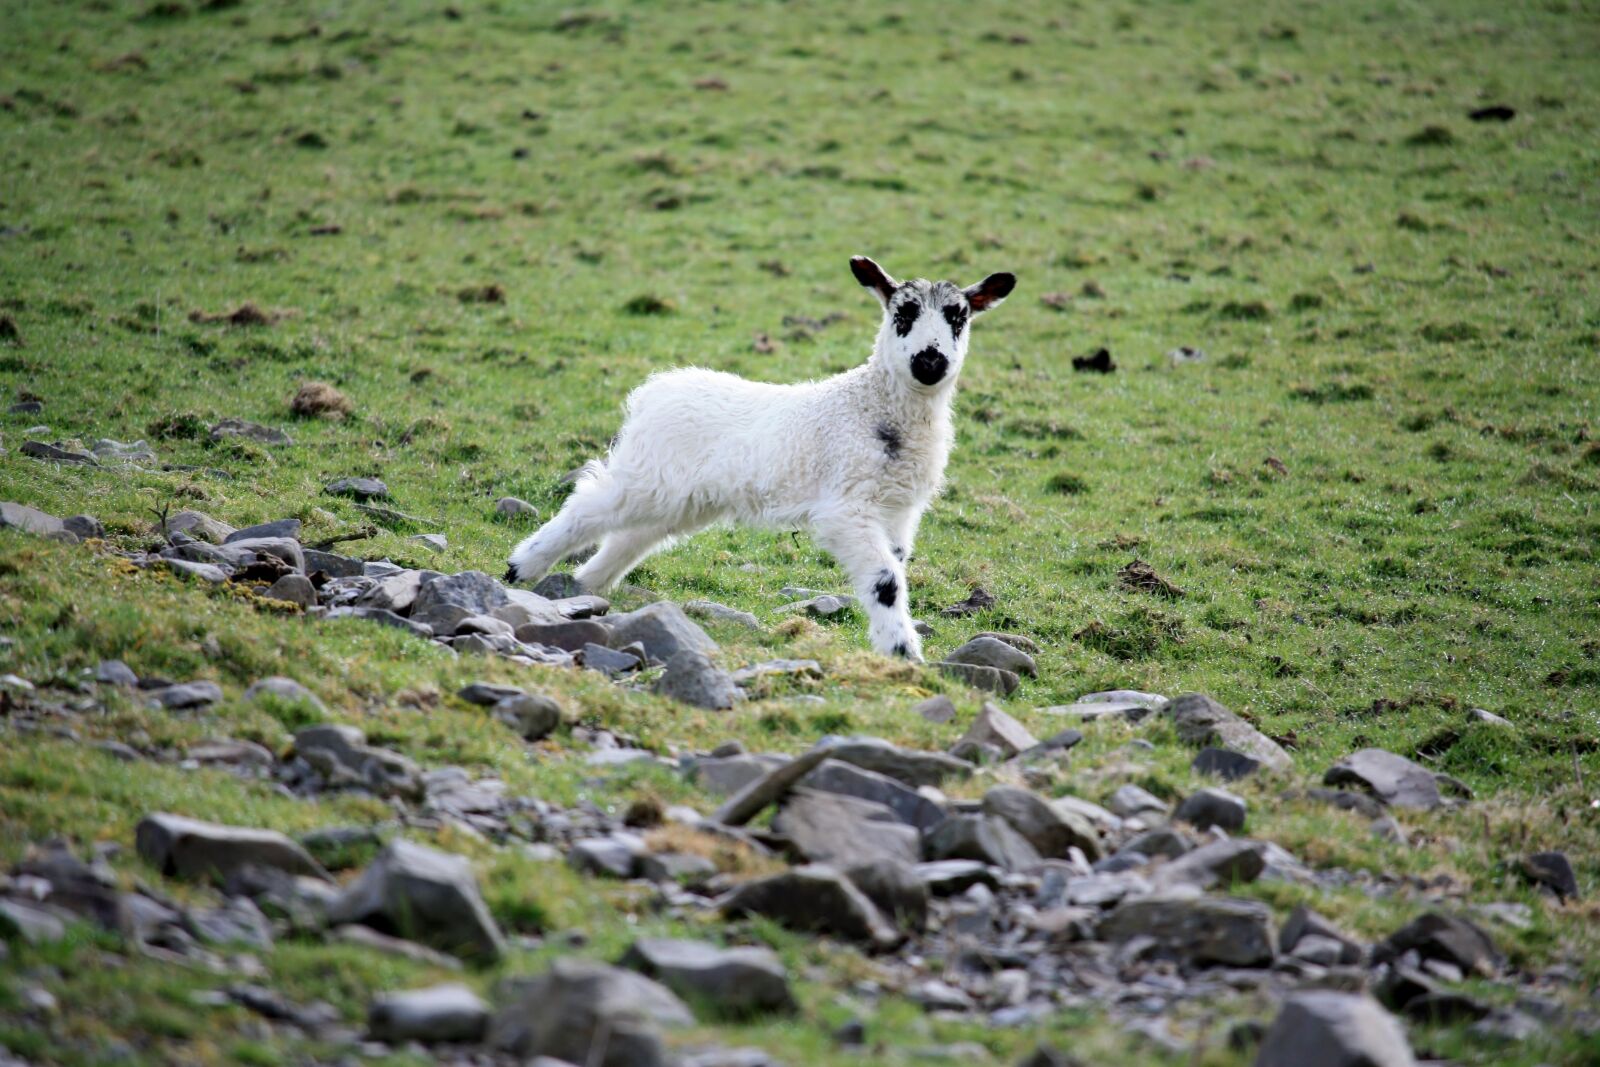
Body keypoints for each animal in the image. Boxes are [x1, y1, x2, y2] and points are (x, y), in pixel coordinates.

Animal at [505, 255, 1016, 660]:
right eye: (902, 313)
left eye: (959, 318)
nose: (930, 361)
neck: (876, 407)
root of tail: (655, 389)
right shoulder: (846, 506)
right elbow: (885, 580)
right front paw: (903, 652)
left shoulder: (899, 510)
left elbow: (893, 569)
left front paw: (899, 645)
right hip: (651, 475)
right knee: (589, 503)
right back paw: (522, 567)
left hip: (682, 498)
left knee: (632, 536)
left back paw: (586, 584)